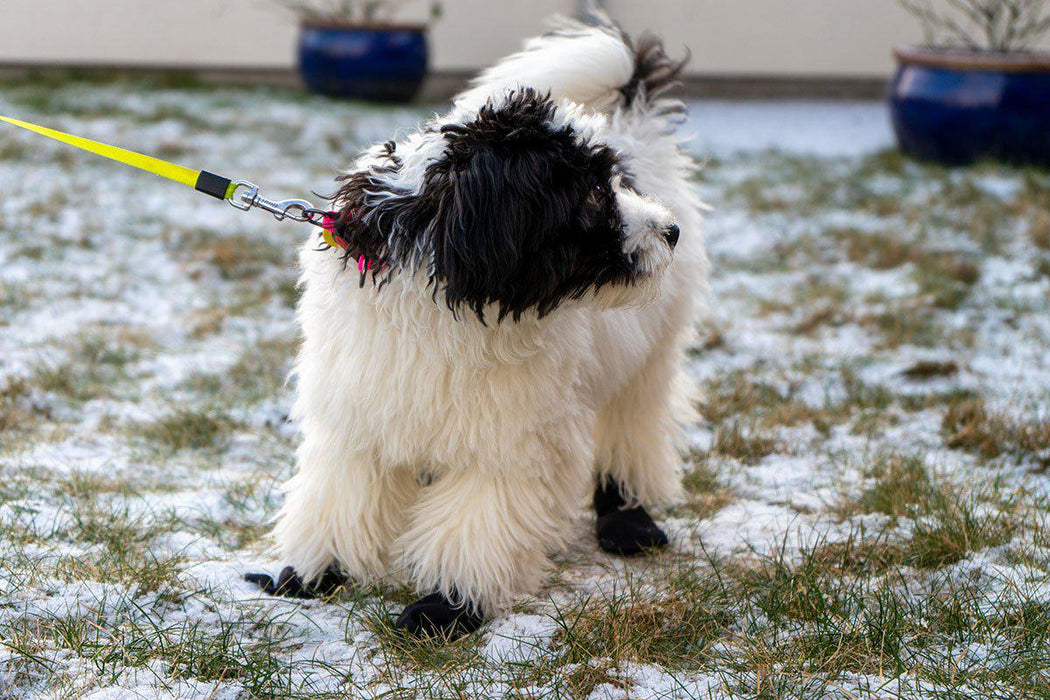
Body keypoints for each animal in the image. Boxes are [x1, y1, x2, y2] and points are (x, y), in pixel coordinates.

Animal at [244, 6, 705, 642]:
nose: (668, 232)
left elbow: (476, 522)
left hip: (649, 357)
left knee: (633, 429)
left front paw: (447, 607)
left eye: (614, 184)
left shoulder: (507, 439)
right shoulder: (358, 414)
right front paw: (314, 573)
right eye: (591, 192)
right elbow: (341, 497)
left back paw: (628, 521)